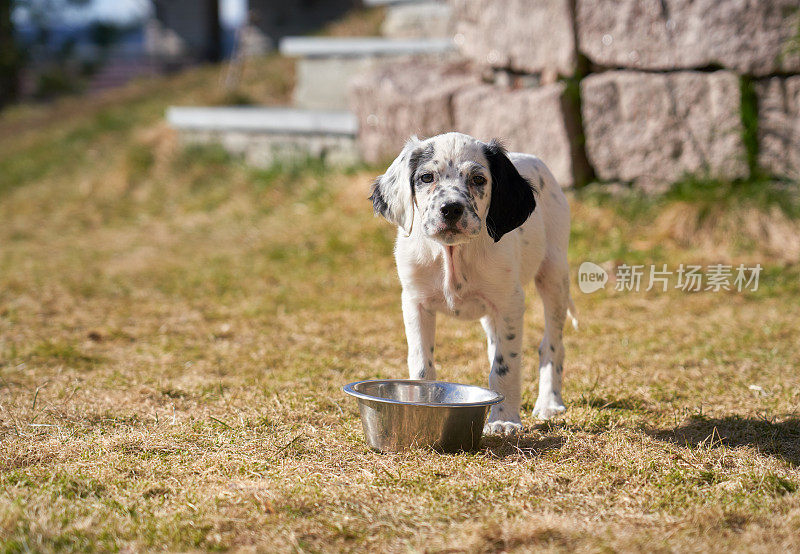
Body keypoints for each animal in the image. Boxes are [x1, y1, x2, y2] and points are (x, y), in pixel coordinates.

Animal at [368, 133, 576, 432]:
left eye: (478, 179)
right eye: (426, 177)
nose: (451, 209)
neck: (453, 254)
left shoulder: (510, 303)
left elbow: (506, 366)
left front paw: (504, 419)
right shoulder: (415, 303)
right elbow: (421, 363)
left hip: (554, 275)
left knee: (552, 345)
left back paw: (549, 402)